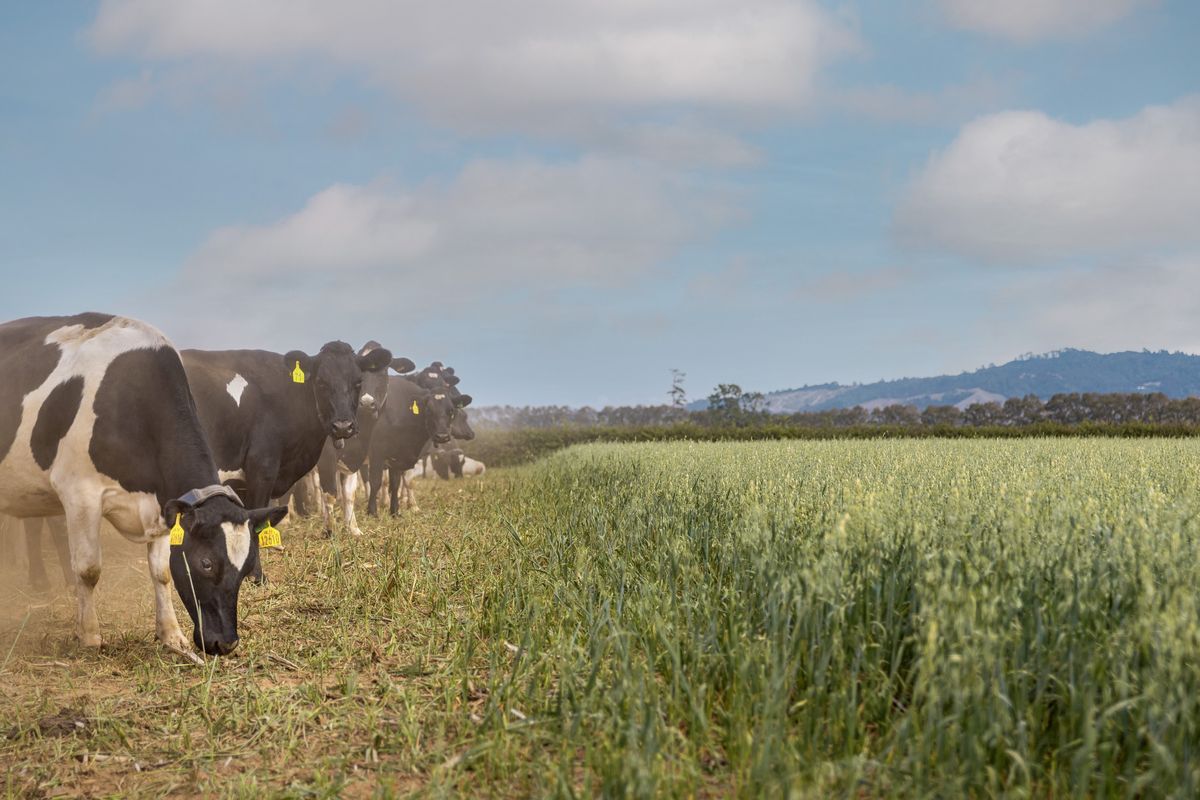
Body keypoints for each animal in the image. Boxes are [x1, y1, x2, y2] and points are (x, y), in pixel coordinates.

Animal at [0, 311, 285, 657]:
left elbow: (161, 572)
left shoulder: (164, 506)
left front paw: (171, 634)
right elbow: (88, 569)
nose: (226, 643)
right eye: (205, 563)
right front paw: (89, 635)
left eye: (246, 569)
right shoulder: (80, 493)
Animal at [177, 343, 403, 575]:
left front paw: (354, 530)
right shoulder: (262, 469)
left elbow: (348, 494)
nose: (343, 426)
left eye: (358, 382)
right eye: (321, 382)